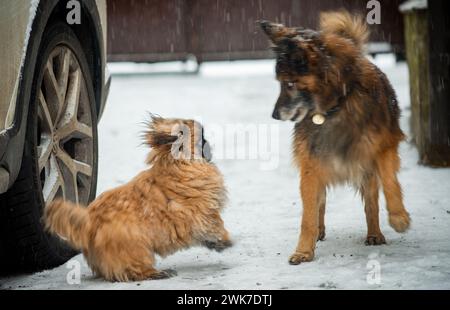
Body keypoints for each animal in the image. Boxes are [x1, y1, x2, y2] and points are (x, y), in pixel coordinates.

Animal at [44, 115, 232, 280]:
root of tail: (88, 223)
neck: (177, 165)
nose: (208, 143)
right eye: (201, 137)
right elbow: (216, 225)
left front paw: (215, 243)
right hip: (136, 249)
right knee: (134, 270)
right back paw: (157, 273)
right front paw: (224, 240)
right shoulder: (203, 213)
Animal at [260, 10, 412, 266]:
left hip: (366, 171)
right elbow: (308, 215)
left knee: (371, 203)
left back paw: (374, 233)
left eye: (289, 83)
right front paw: (304, 250)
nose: (274, 115)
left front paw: (399, 218)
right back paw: (319, 232)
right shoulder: (311, 164)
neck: (337, 105)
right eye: (280, 83)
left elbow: (390, 183)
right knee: (320, 205)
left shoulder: (383, 147)